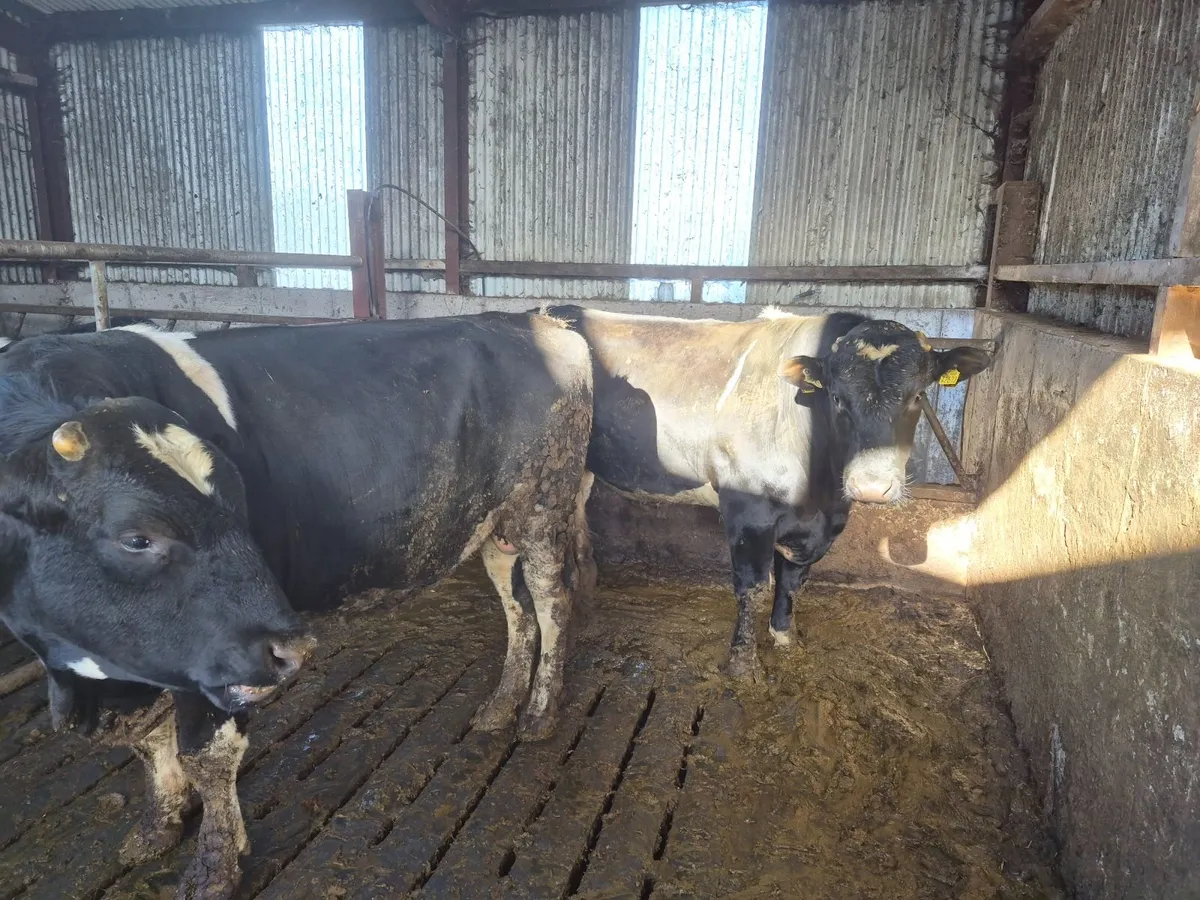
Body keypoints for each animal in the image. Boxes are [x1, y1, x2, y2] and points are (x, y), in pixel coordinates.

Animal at [0, 313, 595, 899]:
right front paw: (158, 827)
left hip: (543, 507)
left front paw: (214, 868)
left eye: (241, 507)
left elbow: (205, 755)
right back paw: (501, 705)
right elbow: (148, 741)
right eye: (136, 538)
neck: (85, 676)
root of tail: (535, 321)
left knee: (552, 602)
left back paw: (539, 713)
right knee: (515, 606)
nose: (291, 647)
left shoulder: (219, 661)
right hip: (496, 526)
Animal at [546, 305, 992, 682]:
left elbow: (793, 582)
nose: (871, 484)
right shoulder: (749, 512)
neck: (819, 496)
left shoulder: (818, 527)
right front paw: (743, 667)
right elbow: (753, 587)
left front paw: (785, 640)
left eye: (918, 396)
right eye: (836, 398)